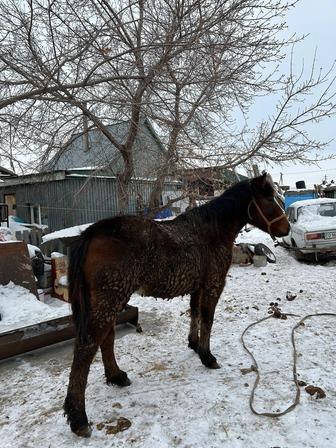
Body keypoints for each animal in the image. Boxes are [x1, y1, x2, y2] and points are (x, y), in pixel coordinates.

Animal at [65, 173, 288, 436]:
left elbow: (194, 313)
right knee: (87, 348)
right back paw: (78, 417)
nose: (286, 228)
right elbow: (207, 319)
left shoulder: (197, 287)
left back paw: (116, 376)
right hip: (109, 301)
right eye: (269, 200)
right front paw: (207, 356)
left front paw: (194, 344)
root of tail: (91, 233)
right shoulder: (213, 285)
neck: (211, 231)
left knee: (106, 339)